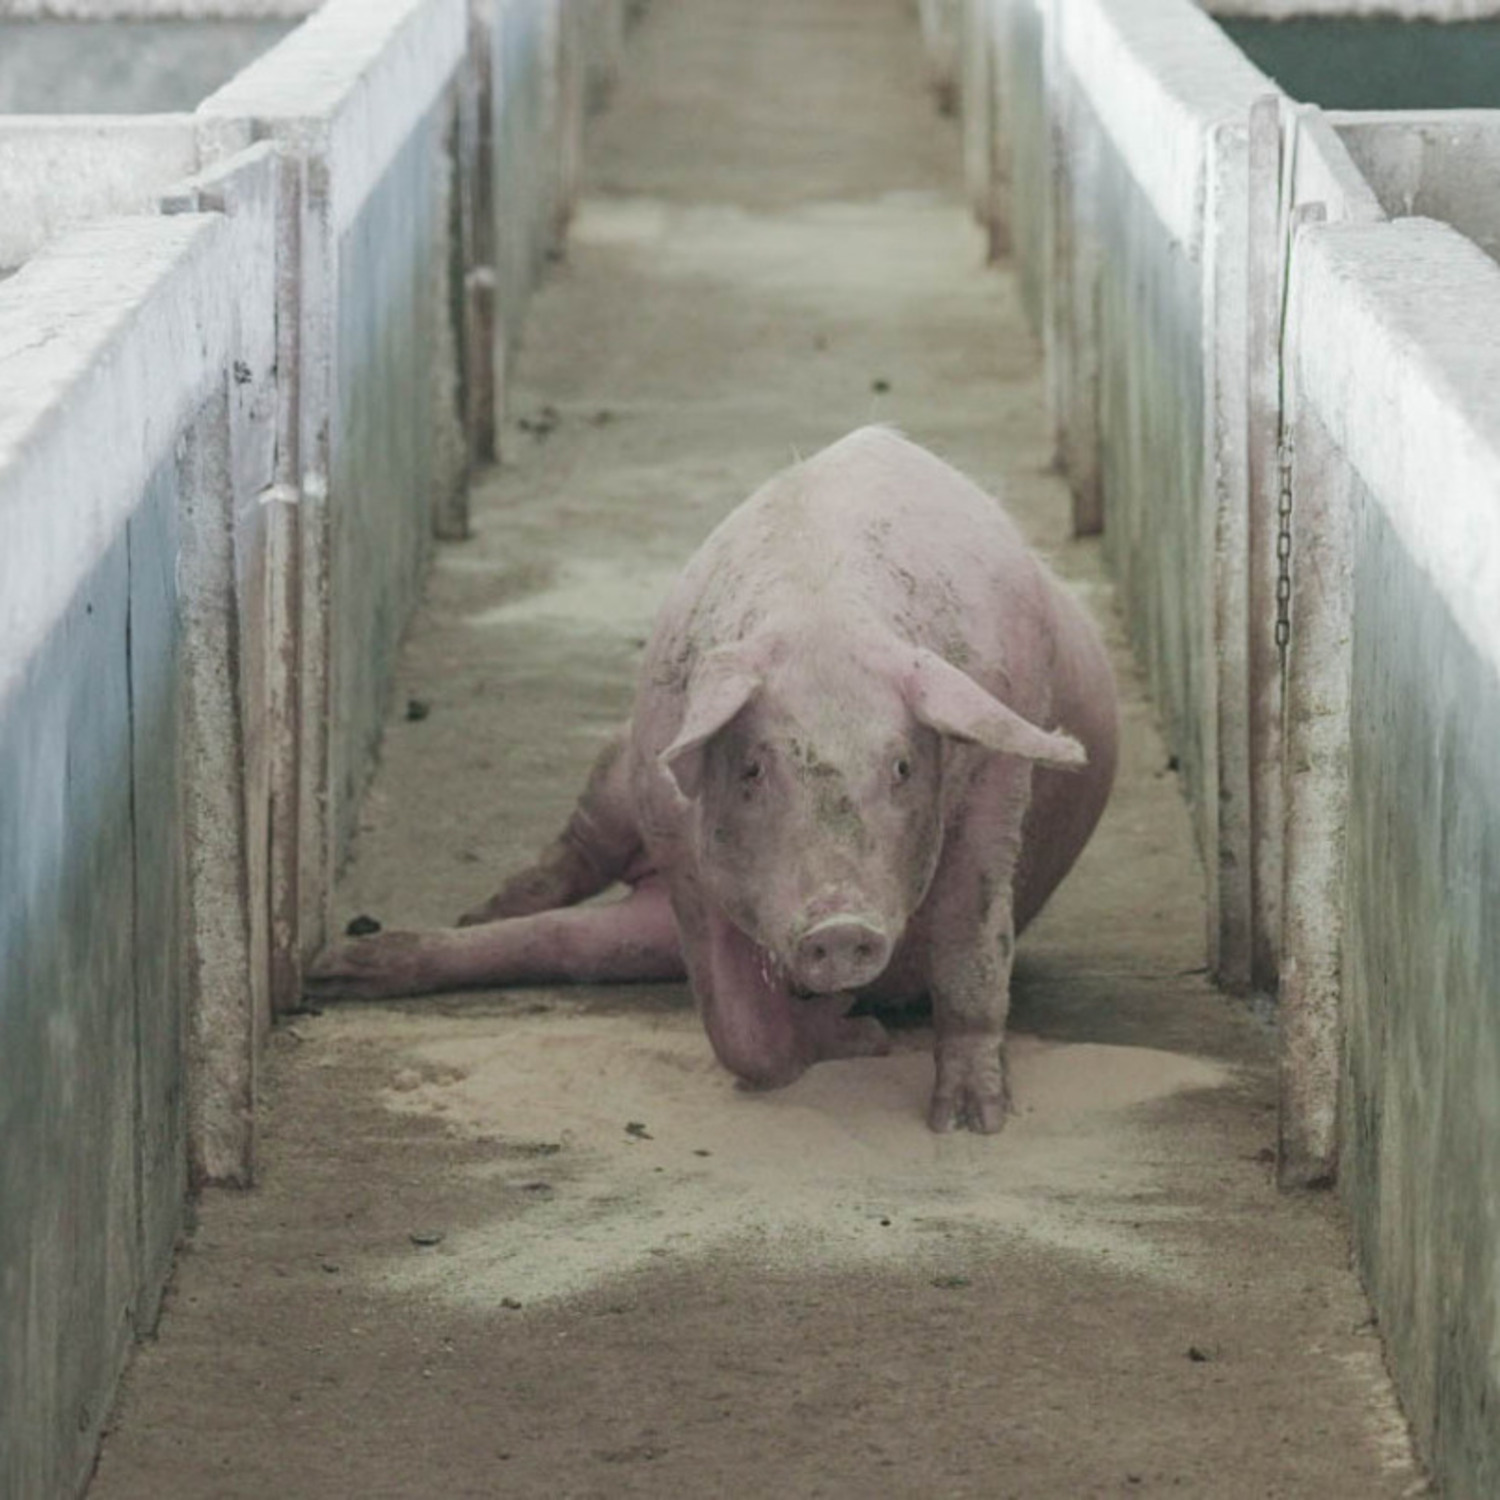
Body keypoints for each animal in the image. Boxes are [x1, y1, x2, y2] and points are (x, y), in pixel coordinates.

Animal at [307, 427, 1118, 1132]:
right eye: (754, 768)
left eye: (902, 767)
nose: (840, 929)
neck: (824, 617)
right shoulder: (677, 842)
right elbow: (739, 1033)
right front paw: (860, 1036)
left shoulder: (997, 781)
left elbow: (970, 945)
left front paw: (970, 1120)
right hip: (620, 769)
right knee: (568, 872)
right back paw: (401, 940)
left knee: (566, 943)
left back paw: (339, 968)